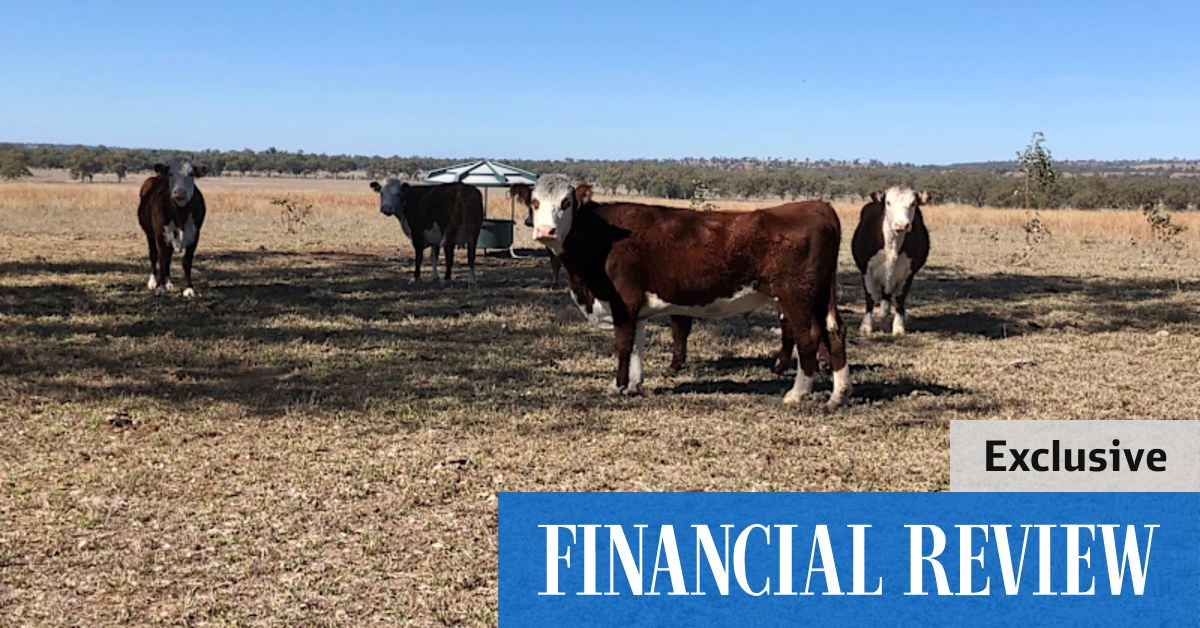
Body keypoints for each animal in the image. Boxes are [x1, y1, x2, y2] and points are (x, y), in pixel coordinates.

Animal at [137, 157, 207, 297]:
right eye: (170, 174)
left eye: (191, 174)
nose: (179, 192)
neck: (180, 215)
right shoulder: (160, 235)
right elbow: (161, 259)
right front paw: (159, 287)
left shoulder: (195, 235)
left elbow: (186, 261)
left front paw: (189, 288)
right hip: (149, 234)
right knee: (154, 255)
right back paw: (153, 281)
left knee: (168, 257)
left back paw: (168, 282)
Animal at [527, 174, 849, 408]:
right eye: (534, 202)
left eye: (566, 203)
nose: (545, 232)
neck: (604, 235)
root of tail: (818, 206)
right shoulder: (636, 308)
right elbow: (637, 346)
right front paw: (634, 385)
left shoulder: (623, 302)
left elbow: (623, 346)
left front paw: (617, 387)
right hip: (818, 298)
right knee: (833, 333)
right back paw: (838, 395)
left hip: (797, 298)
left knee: (808, 337)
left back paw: (797, 393)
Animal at [851, 186, 931, 335]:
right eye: (888, 202)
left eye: (913, 203)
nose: (901, 224)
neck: (892, 245)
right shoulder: (866, 270)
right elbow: (870, 298)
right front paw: (866, 326)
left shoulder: (908, 274)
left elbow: (899, 300)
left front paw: (898, 327)